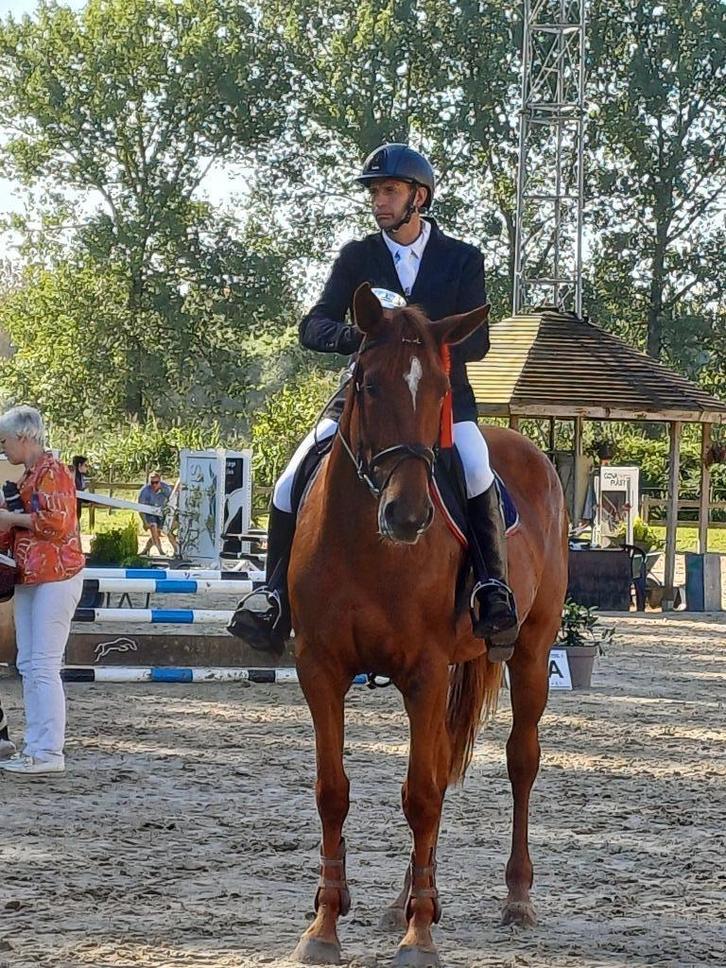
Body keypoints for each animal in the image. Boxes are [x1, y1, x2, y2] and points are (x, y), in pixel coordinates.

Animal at [288, 283, 569, 966]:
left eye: (440, 389)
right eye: (366, 384)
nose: (408, 515)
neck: (368, 546)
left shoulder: (423, 672)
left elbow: (420, 794)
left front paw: (420, 938)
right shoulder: (320, 669)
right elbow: (334, 791)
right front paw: (325, 924)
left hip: (530, 652)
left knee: (520, 761)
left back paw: (515, 898)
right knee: (441, 769)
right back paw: (409, 899)